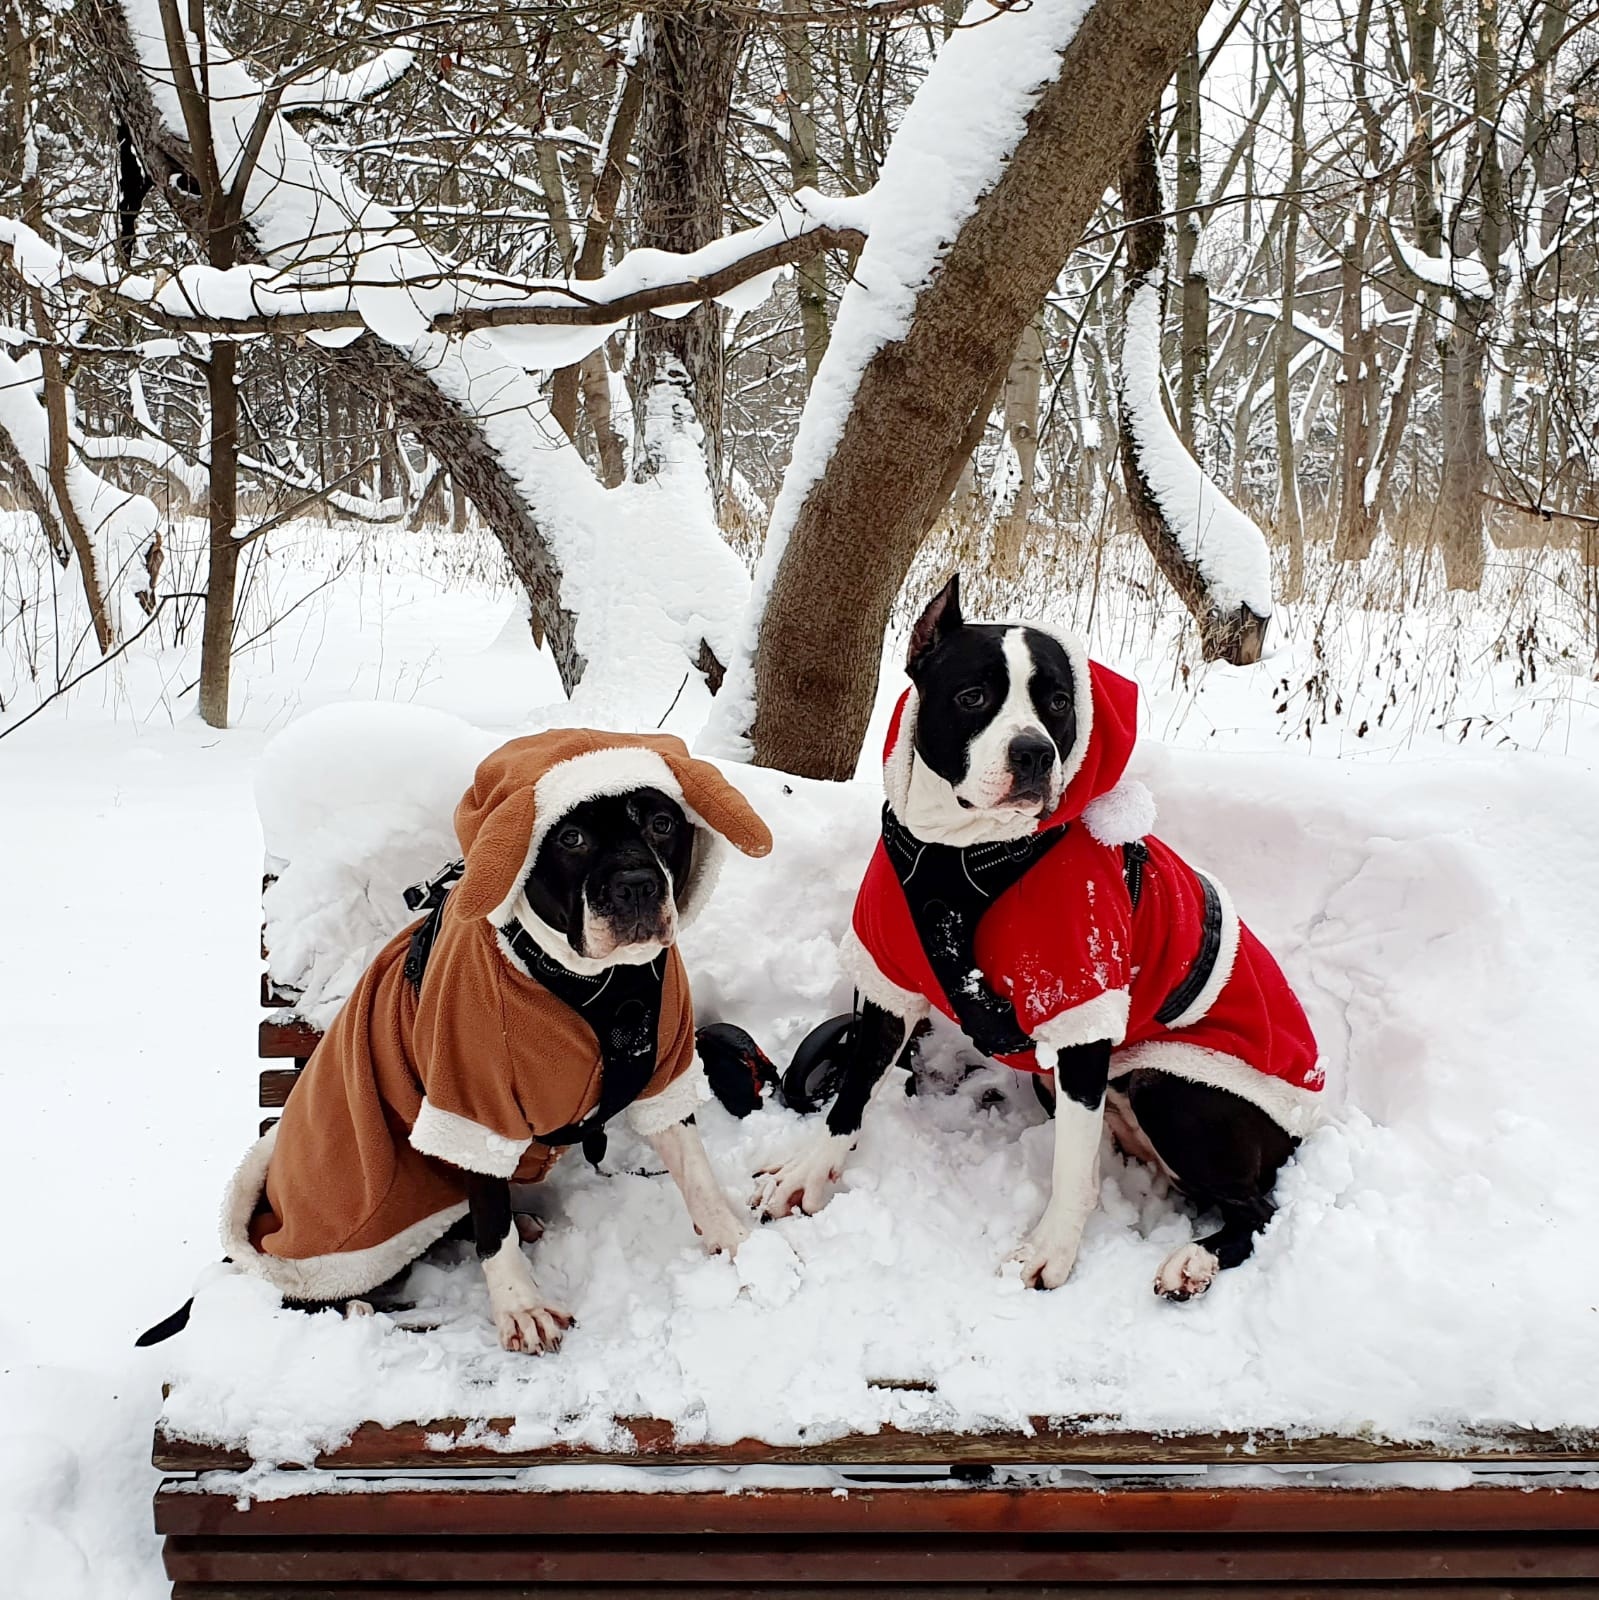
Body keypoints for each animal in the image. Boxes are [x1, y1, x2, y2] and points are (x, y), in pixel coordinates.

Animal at [755, 576, 1318, 1299]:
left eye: (1058, 703)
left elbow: (1071, 1171)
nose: (1034, 752)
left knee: (1257, 1207)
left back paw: (1193, 1260)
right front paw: (806, 1174)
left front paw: (1049, 1250)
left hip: (1174, 1087)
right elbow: (849, 1094)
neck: (960, 854)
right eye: (972, 696)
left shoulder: (1079, 1011)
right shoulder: (888, 981)